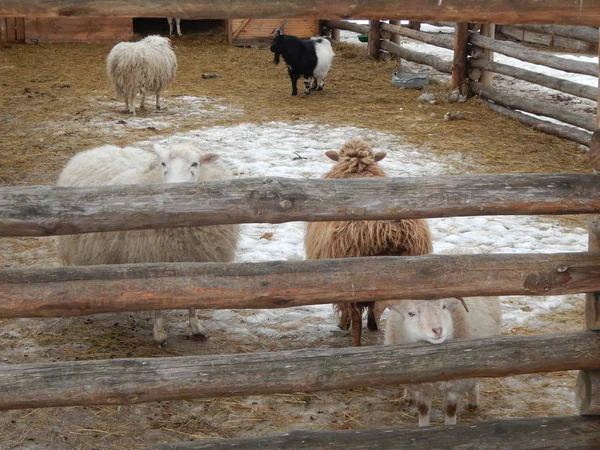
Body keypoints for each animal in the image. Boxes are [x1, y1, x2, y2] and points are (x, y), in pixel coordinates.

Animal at [56, 142, 241, 346]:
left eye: (195, 164)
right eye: (163, 163)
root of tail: (96, 149)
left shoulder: (195, 259)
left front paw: (196, 327)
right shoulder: (152, 258)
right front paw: (159, 333)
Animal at [304, 139, 432, 346]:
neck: (357, 170)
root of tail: (390, 231)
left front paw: (343, 323)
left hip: (354, 278)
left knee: (357, 317)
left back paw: (355, 341)